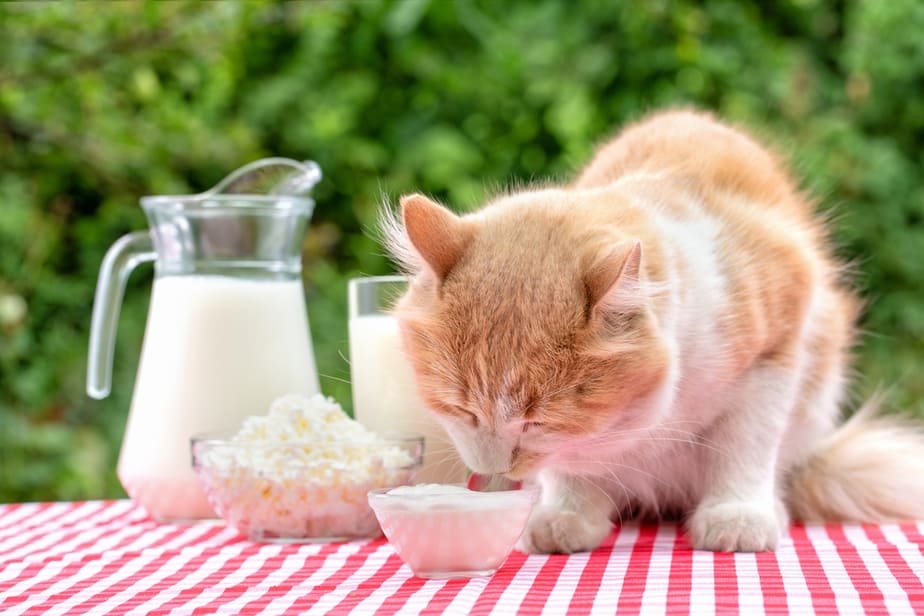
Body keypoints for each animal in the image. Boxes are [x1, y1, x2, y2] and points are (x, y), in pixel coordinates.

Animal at [378, 109, 924, 552]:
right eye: (461, 410)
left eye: (538, 423)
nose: (495, 470)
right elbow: (570, 468)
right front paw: (568, 514)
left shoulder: (775, 356)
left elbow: (745, 447)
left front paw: (738, 515)